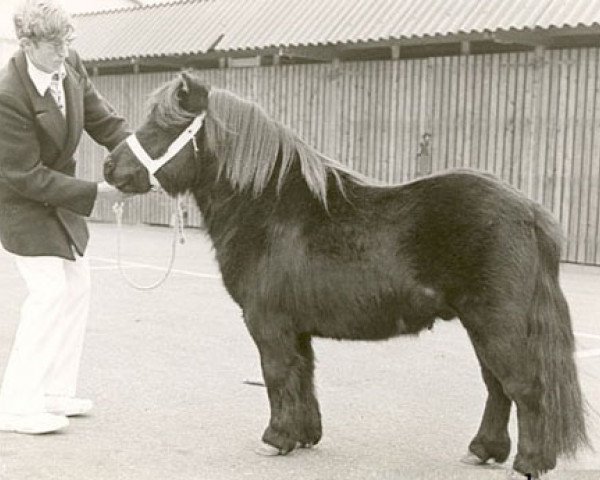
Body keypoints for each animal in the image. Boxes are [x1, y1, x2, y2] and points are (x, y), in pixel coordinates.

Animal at [102, 70, 584, 476]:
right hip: (482, 324)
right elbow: (303, 375)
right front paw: (304, 436)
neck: (269, 207)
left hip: (497, 322)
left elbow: (276, 374)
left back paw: (529, 463)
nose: (110, 168)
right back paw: (484, 449)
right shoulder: (295, 327)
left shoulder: (267, 322)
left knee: (524, 385)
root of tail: (531, 212)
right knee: (497, 386)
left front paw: (275, 438)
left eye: (163, 127)